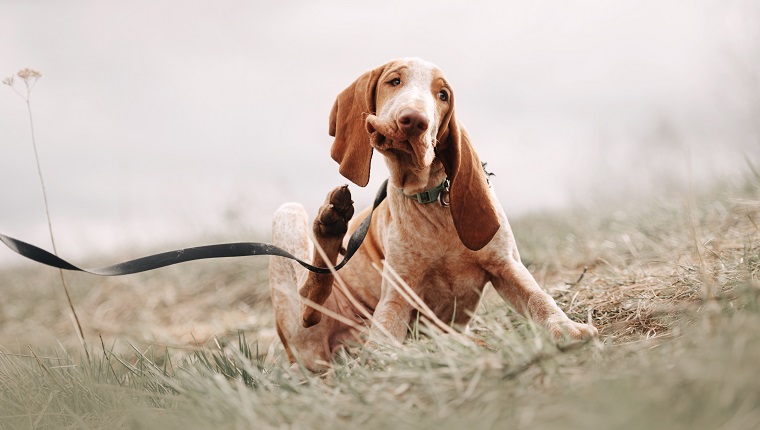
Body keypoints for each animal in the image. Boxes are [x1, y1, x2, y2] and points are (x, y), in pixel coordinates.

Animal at [270, 58, 596, 372]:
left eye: (443, 96)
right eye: (394, 81)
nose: (414, 121)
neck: (431, 199)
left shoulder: (506, 266)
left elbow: (539, 298)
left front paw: (567, 327)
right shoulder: (398, 296)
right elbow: (382, 346)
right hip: (290, 223)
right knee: (308, 301)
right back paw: (332, 224)